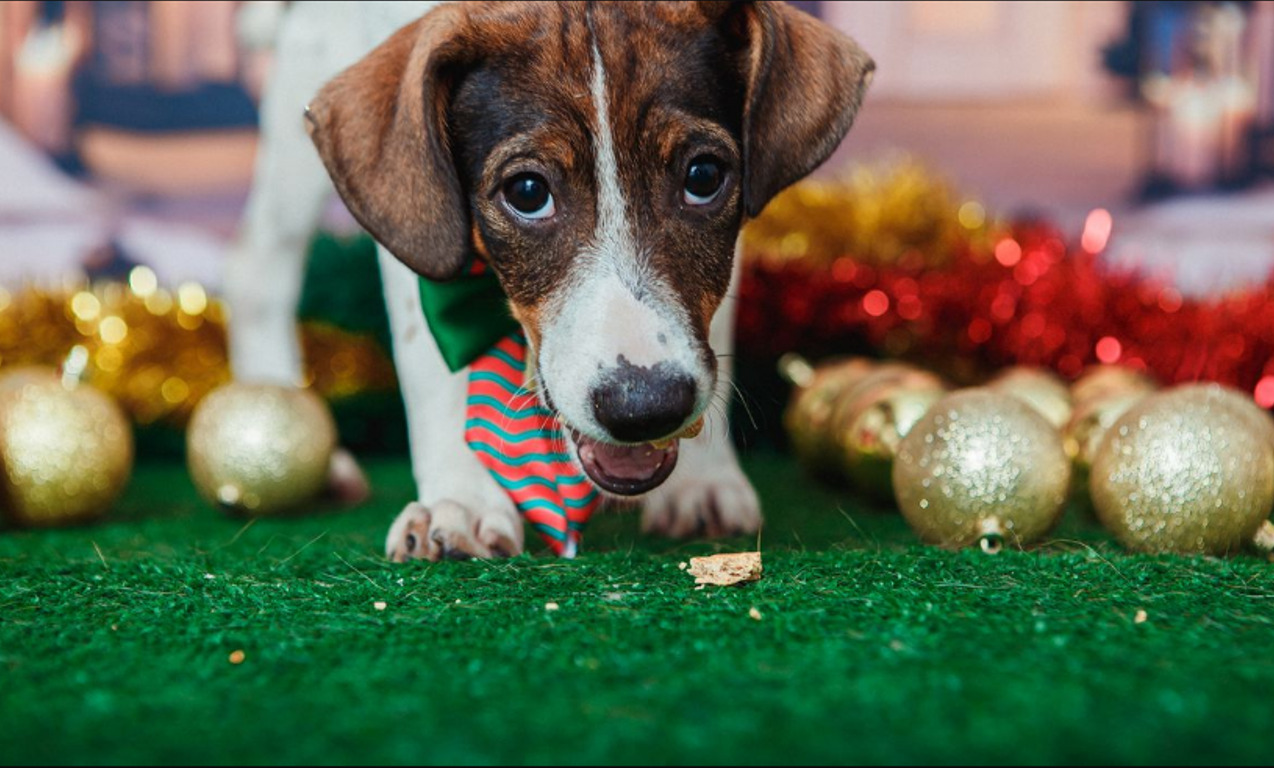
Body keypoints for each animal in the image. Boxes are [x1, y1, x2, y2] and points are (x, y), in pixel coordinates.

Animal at [224, 1, 871, 565]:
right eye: (528, 192)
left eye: (704, 177)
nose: (645, 408)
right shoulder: (418, 215)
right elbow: (432, 361)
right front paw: (459, 498)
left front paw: (703, 477)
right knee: (260, 278)